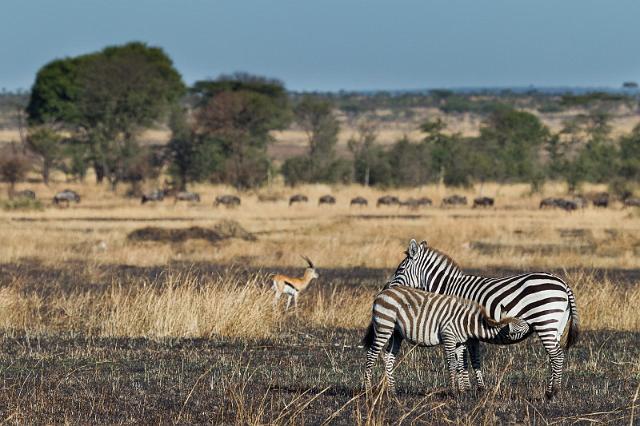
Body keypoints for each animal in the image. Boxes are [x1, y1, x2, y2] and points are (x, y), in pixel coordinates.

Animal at [362, 284, 528, 394]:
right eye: (522, 328)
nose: (532, 328)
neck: (467, 322)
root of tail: (383, 292)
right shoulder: (449, 337)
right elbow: (452, 364)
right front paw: (454, 391)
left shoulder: (460, 342)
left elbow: (461, 365)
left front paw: (463, 391)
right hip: (384, 327)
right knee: (371, 355)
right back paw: (367, 389)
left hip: (396, 334)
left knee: (389, 358)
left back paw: (392, 391)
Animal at [388, 240, 584, 400]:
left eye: (400, 270)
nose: (386, 288)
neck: (449, 288)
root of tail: (563, 283)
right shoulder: (469, 331)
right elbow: (474, 359)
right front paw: (478, 389)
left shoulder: (459, 325)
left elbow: (462, 360)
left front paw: (465, 390)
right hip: (557, 327)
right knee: (554, 356)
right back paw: (550, 390)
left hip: (545, 322)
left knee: (556, 355)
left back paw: (553, 393)